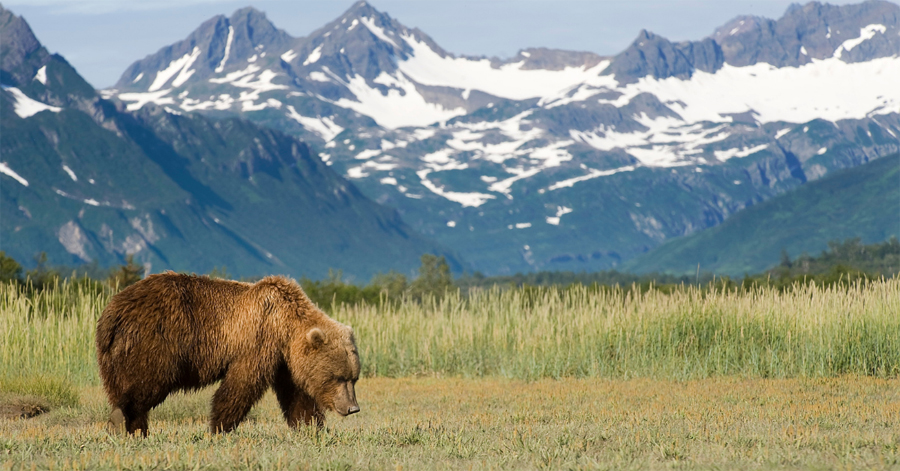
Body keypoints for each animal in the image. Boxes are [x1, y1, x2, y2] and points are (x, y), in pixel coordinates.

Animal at [96, 274, 360, 436]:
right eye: (338, 377)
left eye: (353, 378)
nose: (353, 408)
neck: (285, 326)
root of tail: (113, 311)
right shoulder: (258, 340)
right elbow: (240, 385)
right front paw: (219, 427)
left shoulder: (285, 362)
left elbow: (297, 396)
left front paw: (312, 427)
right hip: (156, 341)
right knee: (148, 382)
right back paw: (121, 420)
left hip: (114, 353)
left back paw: (135, 429)